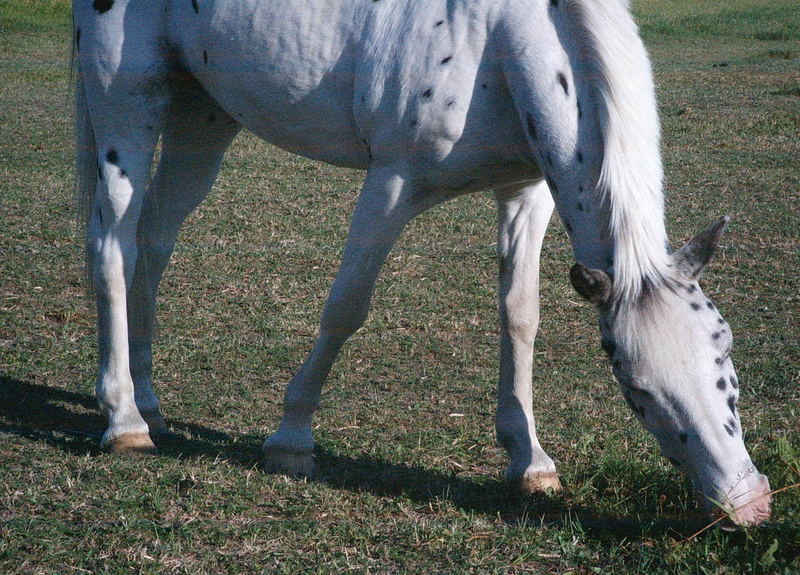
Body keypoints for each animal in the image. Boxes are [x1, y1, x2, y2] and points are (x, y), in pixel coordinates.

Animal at [72, 0, 772, 528]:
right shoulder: (391, 184)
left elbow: (521, 317)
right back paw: (125, 420)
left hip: (205, 113)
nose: (749, 504)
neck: (499, 40)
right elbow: (346, 308)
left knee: (155, 243)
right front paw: (292, 439)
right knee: (114, 248)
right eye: (637, 387)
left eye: (725, 349)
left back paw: (150, 400)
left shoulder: (526, 192)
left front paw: (530, 461)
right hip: (126, 108)